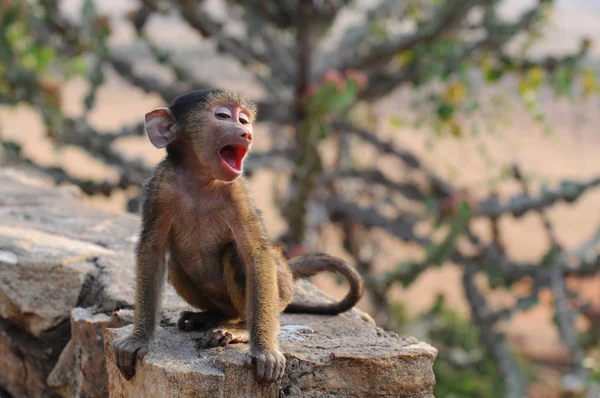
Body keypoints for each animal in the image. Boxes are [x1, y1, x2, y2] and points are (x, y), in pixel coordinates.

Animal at [112, 89, 366, 382]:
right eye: (223, 116)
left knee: (235, 254)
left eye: (243, 120)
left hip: (279, 290)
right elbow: (152, 252)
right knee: (177, 263)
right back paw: (210, 316)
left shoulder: (237, 193)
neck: (201, 180)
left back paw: (239, 328)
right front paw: (138, 339)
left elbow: (254, 253)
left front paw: (264, 350)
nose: (246, 133)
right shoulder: (159, 188)